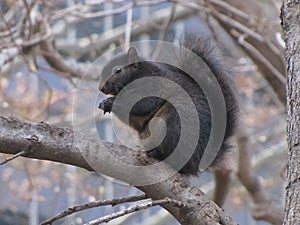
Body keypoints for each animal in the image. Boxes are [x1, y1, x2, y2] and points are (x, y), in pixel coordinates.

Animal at [98, 35, 239, 176]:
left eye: (118, 70)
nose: (101, 88)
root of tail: (198, 162)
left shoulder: (154, 86)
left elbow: (141, 104)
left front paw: (110, 102)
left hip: (173, 123)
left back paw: (158, 154)